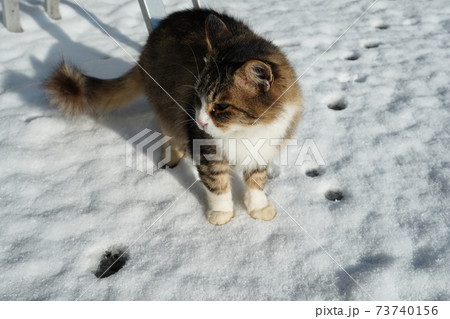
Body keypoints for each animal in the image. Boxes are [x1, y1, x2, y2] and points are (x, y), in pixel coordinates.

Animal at [44, 8, 302, 226]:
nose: (200, 121)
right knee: (170, 135)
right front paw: (221, 214)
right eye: (198, 97)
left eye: (220, 107)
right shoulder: (206, 150)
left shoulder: (264, 148)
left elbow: (256, 182)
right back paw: (172, 158)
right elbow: (217, 185)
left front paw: (258, 209)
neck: (245, 131)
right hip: (166, 108)